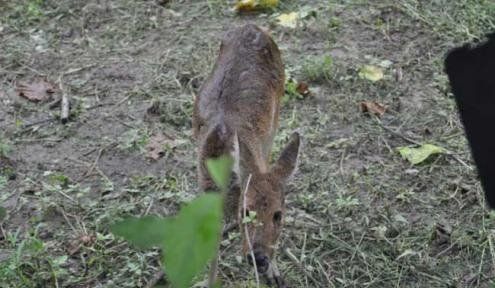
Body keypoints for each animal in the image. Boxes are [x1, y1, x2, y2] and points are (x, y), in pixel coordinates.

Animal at [193, 23, 302, 286]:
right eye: (246, 212)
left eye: (278, 215)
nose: (259, 259)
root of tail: (251, 26)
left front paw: (274, 272)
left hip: (277, 108)